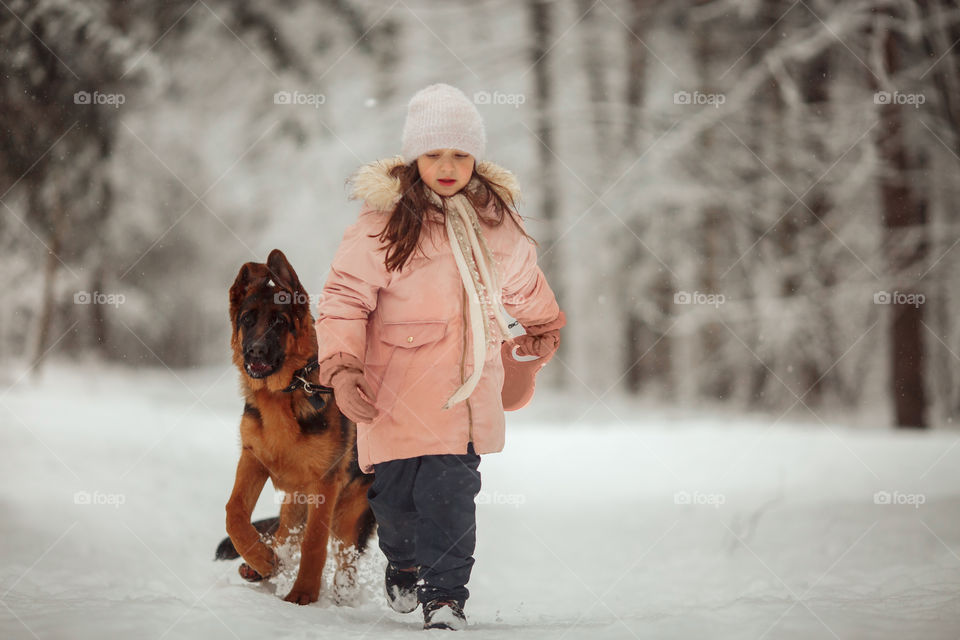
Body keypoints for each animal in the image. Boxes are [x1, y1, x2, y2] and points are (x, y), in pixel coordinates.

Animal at [219, 250, 376, 604]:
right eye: (247, 319)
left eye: (279, 322)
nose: (255, 351)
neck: (285, 393)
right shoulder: (253, 459)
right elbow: (234, 513)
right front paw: (262, 559)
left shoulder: (325, 484)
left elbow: (314, 543)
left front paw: (303, 594)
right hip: (297, 500)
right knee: (284, 535)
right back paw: (265, 564)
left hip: (350, 511)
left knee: (343, 561)